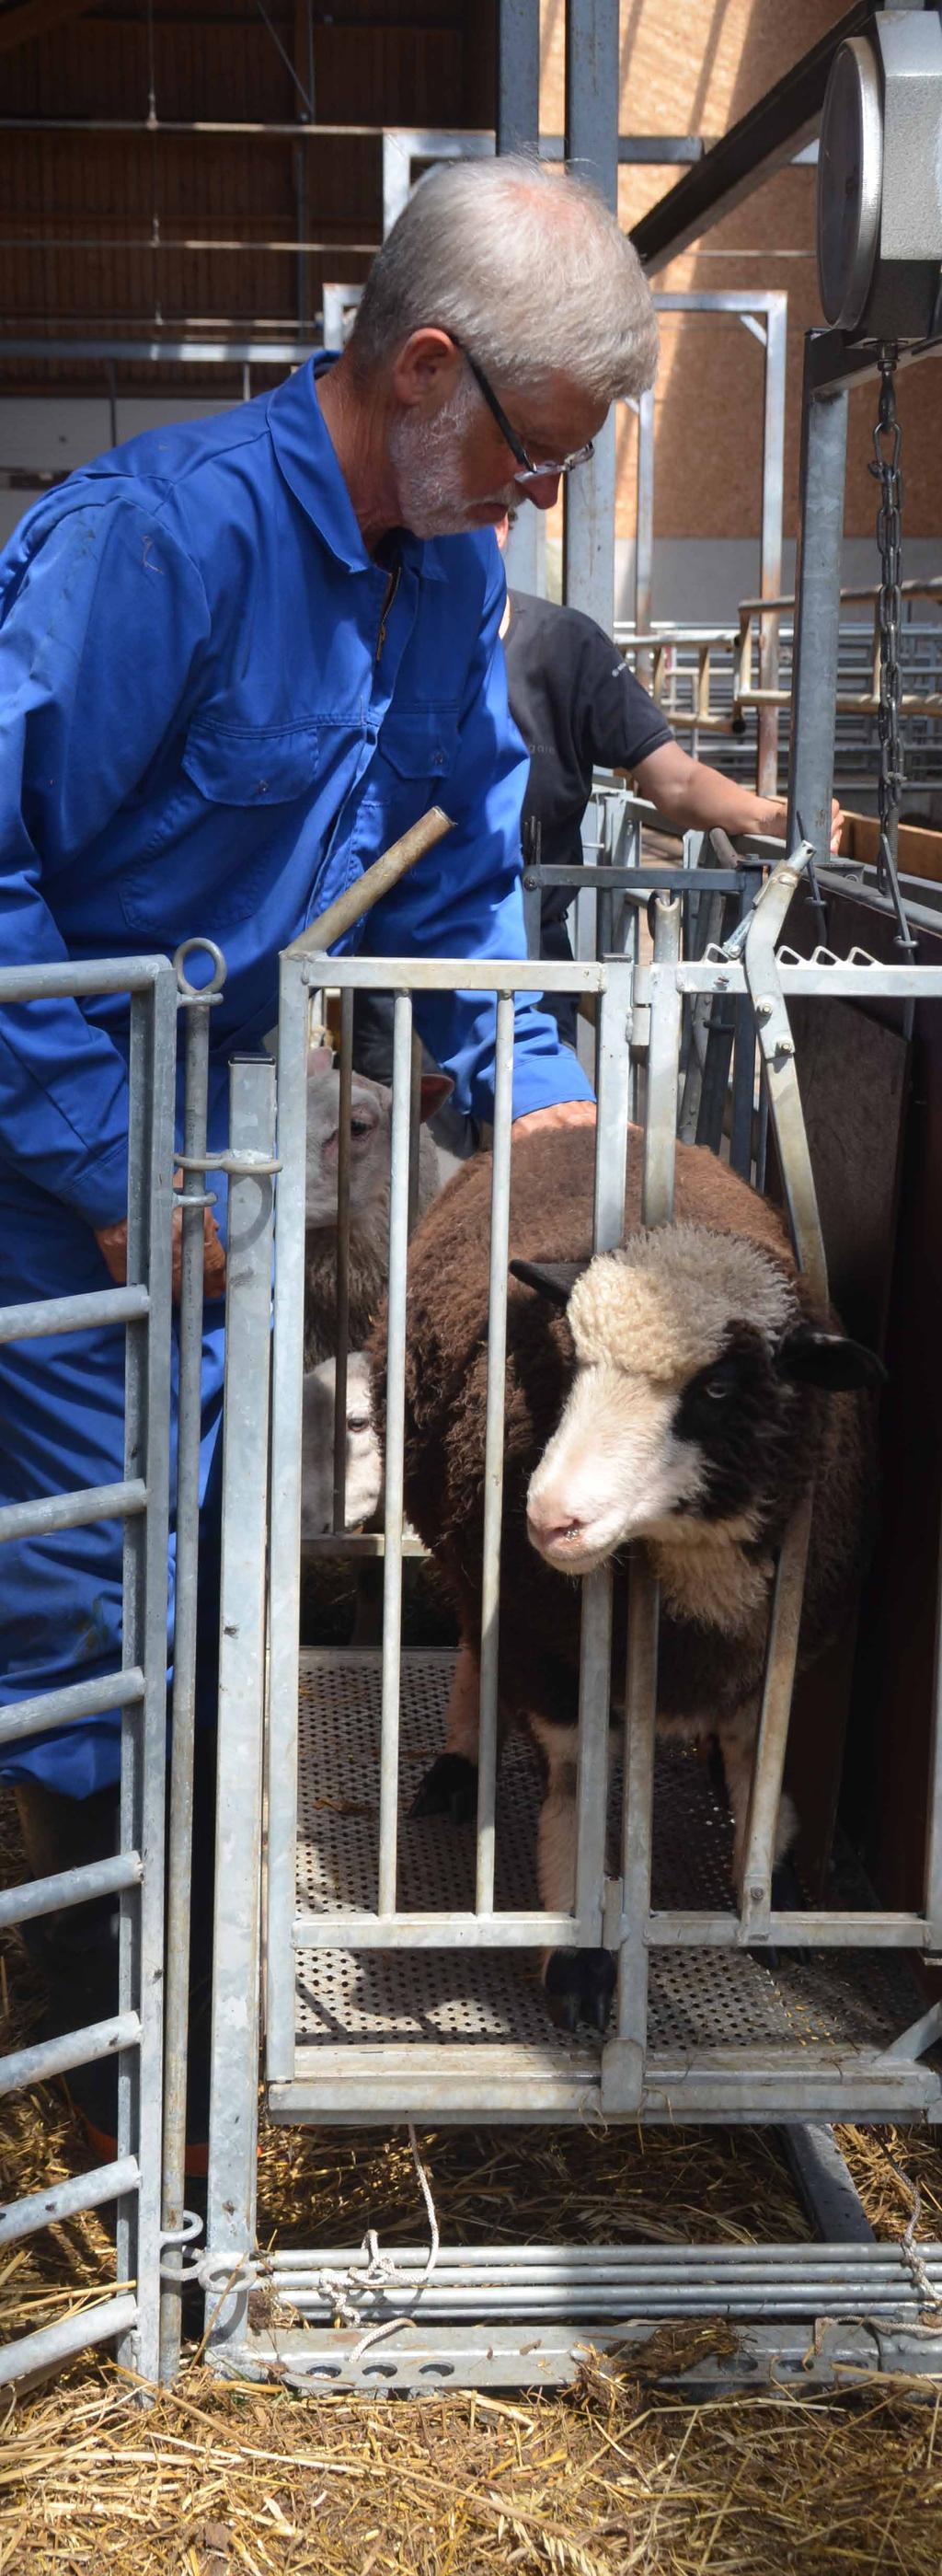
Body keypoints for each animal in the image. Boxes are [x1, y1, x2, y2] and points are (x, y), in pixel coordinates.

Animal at [370, 1123, 885, 2029]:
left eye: (719, 1386)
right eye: (571, 1360)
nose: (550, 1518)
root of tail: (581, 1122)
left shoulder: (775, 1655)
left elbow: (756, 1766)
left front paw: (770, 1897)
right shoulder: (549, 1652)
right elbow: (577, 1791)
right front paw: (579, 1960)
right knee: (472, 1641)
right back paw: (460, 1766)